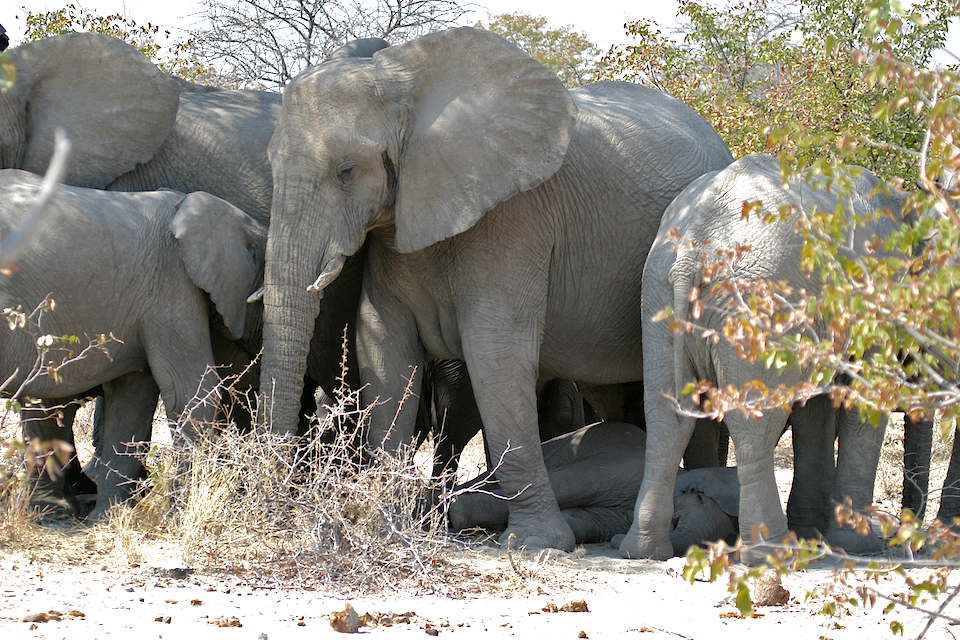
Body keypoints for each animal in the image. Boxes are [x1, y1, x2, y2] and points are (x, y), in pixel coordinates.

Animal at [0, 169, 267, 521]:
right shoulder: (173, 286)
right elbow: (190, 390)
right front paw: (177, 516)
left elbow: (131, 396)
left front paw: (108, 519)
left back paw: (53, 514)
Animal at [448, 421, 740, 554]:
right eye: (700, 498)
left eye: (729, 535)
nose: (617, 542)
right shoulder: (625, 467)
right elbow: (567, 484)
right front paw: (455, 512)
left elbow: (579, 523)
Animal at [625, 153, 908, 563]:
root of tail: (693, 251)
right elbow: (865, 398)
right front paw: (860, 545)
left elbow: (816, 405)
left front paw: (818, 534)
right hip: (755, 300)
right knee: (752, 423)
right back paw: (774, 553)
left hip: (657, 297)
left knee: (666, 420)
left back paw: (643, 550)